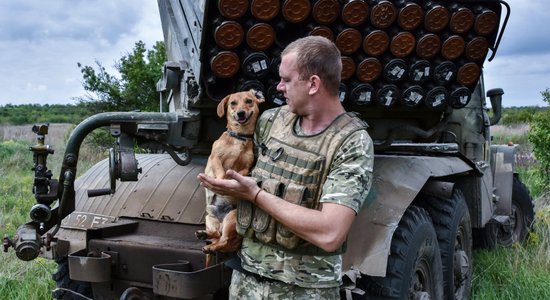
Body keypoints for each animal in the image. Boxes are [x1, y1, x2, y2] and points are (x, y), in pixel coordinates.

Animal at [197, 88, 266, 264]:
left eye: (249, 101)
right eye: (233, 103)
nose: (240, 113)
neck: (239, 138)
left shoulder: (246, 167)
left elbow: (238, 173)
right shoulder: (216, 159)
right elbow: (221, 172)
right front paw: (221, 182)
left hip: (231, 218)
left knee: (223, 240)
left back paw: (210, 246)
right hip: (210, 218)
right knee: (218, 235)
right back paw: (204, 235)